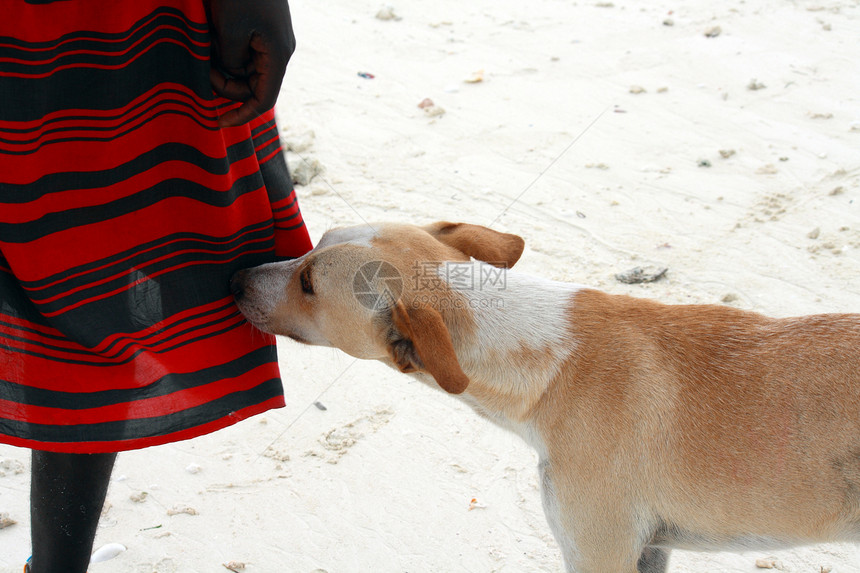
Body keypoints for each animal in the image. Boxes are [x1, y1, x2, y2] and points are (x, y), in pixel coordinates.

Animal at [230, 222, 860, 572]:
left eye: (308, 284)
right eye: (311, 245)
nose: (235, 276)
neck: (551, 362)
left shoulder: (600, 553)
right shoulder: (648, 552)